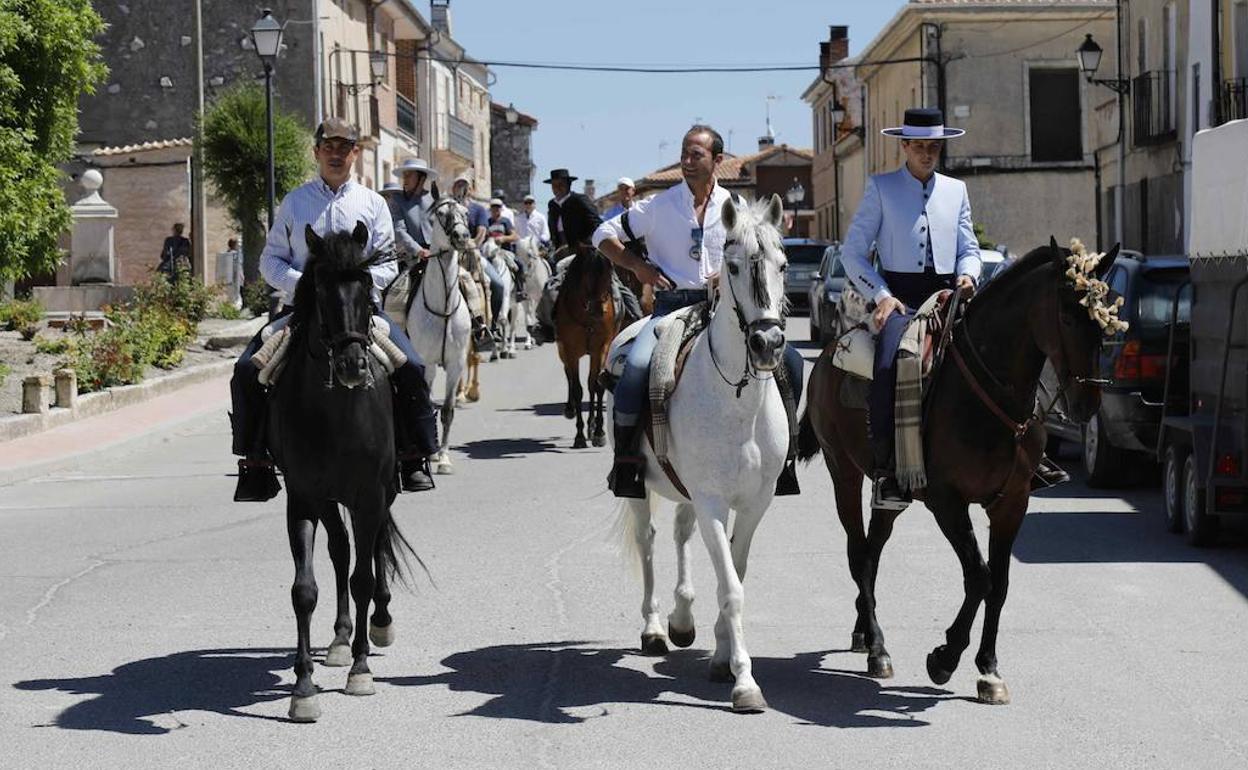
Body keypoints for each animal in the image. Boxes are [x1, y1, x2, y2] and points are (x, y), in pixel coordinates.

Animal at [265, 220, 416, 718]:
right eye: (320, 289)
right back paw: (339, 637)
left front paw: (361, 670)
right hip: (331, 500)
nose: (353, 365)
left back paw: (379, 623)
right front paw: (303, 688)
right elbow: (304, 589)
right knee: (341, 550)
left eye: (366, 285)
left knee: (372, 550)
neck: (336, 414)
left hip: (382, 491)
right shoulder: (303, 498)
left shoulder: (369, 494)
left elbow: (364, 577)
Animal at [556, 249, 619, 446]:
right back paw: (570, 410)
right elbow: (577, 388)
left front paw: (598, 432)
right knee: (568, 374)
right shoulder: (570, 350)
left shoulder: (602, 348)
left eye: (609, 275)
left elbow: (596, 385)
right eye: (587, 277)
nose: (599, 311)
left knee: (592, 383)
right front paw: (579, 436)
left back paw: (592, 426)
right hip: (562, 350)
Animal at [611, 194, 788, 713]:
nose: (768, 343)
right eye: (732, 266)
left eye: (783, 264)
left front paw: (721, 656)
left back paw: (683, 620)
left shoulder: (754, 503)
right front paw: (744, 681)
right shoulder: (712, 500)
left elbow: (736, 572)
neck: (738, 401)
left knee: (680, 535)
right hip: (639, 487)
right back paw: (653, 628)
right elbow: (731, 587)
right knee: (648, 541)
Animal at [798, 238, 1123, 703]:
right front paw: (945, 657)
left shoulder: (1012, 503)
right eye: (1065, 315)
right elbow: (980, 577)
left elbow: (999, 583)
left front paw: (988, 668)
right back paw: (877, 647)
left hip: (890, 492)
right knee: (858, 554)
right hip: (843, 470)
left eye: (1103, 321)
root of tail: (829, 353)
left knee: (873, 552)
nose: (1086, 405)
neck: (990, 395)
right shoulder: (947, 502)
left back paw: (864, 632)